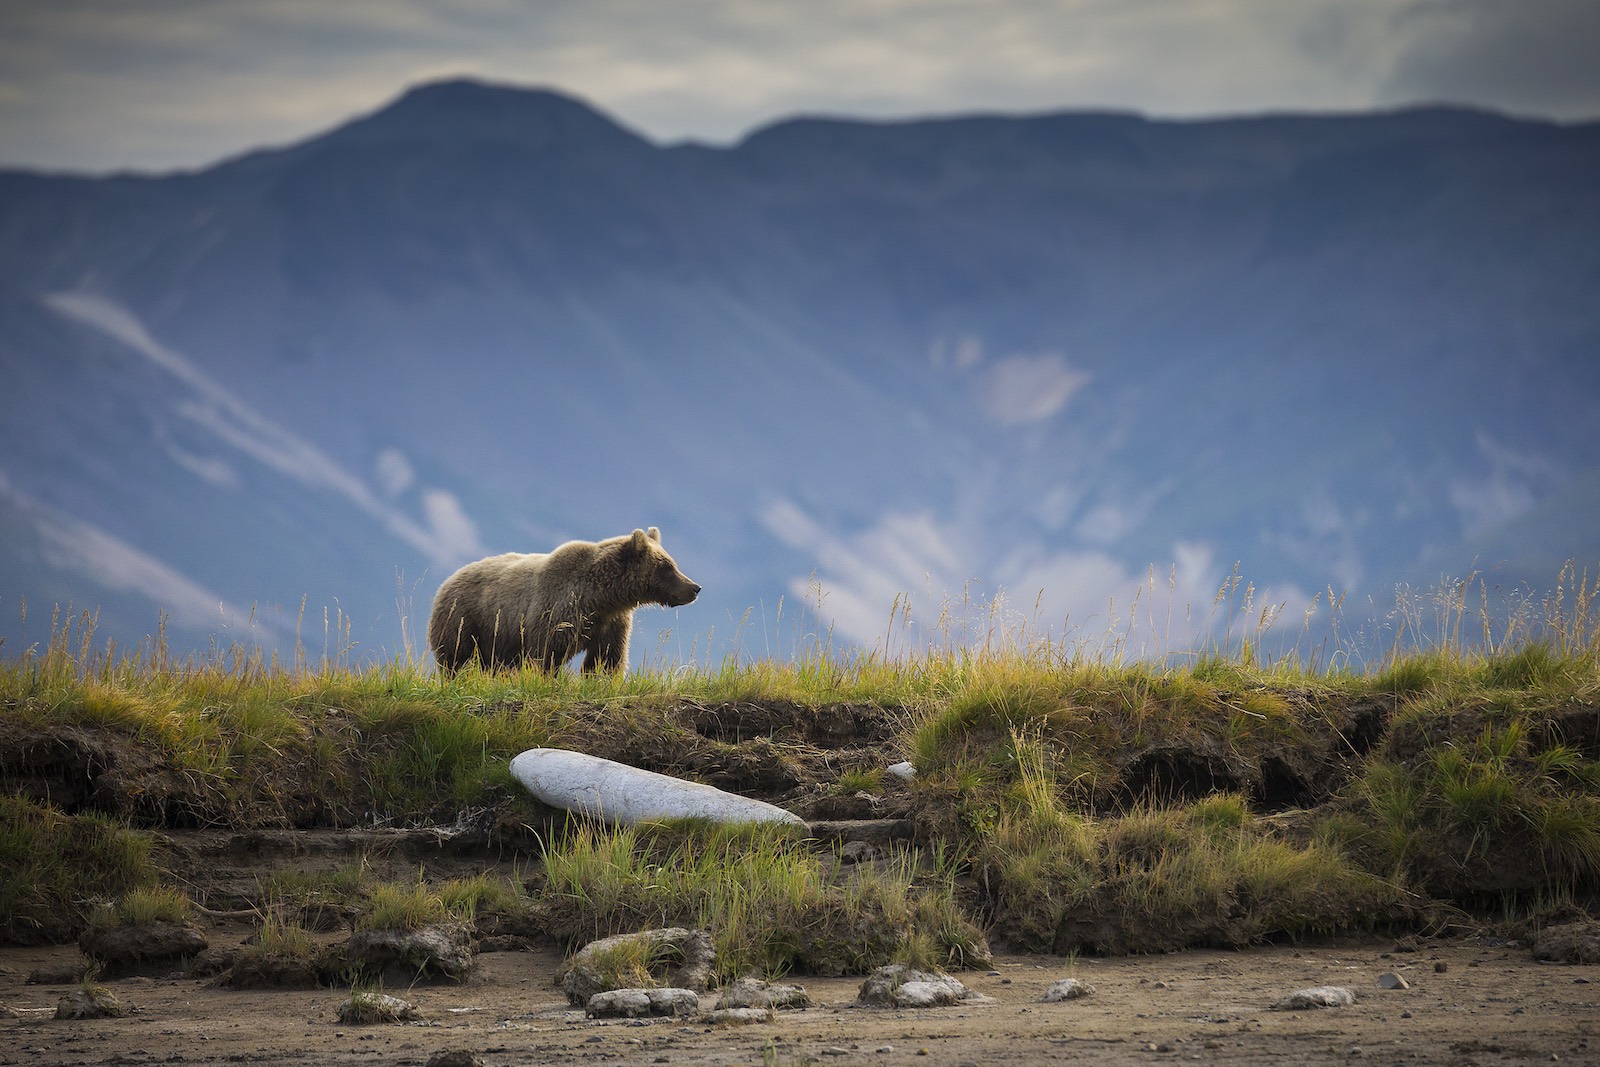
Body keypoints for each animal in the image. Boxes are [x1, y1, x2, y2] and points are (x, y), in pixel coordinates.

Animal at [425, 527, 700, 675]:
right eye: (667, 566)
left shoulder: (612, 622)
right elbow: (547, 654)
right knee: (457, 659)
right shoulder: (559, 610)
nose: (694, 588)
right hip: (466, 620)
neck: (603, 598)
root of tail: (447, 581)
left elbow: (607, 658)